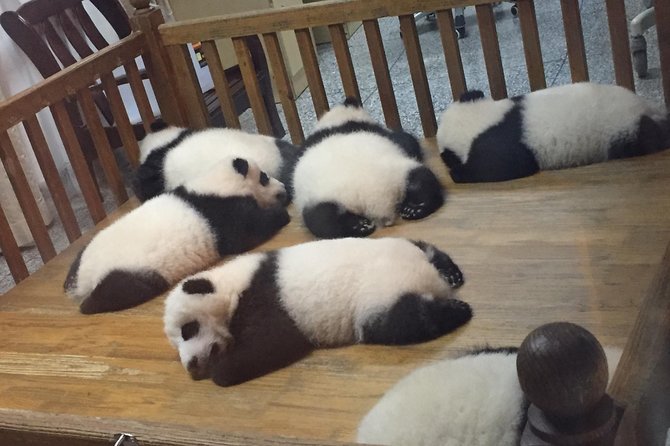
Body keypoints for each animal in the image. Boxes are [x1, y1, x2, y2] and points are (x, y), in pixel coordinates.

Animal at [64, 157, 290, 314]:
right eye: (264, 177)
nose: (283, 189)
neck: (215, 182)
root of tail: (84, 278)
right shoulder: (220, 214)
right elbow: (247, 232)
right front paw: (280, 212)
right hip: (133, 273)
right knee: (120, 292)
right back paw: (87, 305)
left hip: (87, 249)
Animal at [163, 237, 472, 387]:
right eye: (177, 342)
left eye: (188, 330)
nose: (192, 365)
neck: (230, 283)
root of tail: (432, 277)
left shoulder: (266, 298)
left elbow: (273, 342)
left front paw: (222, 371)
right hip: (400, 248)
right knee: (426, 247)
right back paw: (453, 274)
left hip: (379, 293)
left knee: (403, 322)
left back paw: (459, 309)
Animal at [292, 97, 445, 239]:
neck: (336, 122)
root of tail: (376, 201)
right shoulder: (381, 131)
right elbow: (407, 141)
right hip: (320, 198)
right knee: (322, 219)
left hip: (401, 172)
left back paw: (412, 209)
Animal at [437, 82, 670, 183]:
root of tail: (649, 109)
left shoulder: (497, 147)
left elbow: (507, 167)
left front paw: (457, 173)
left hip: (621, 130)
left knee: (645, 138)